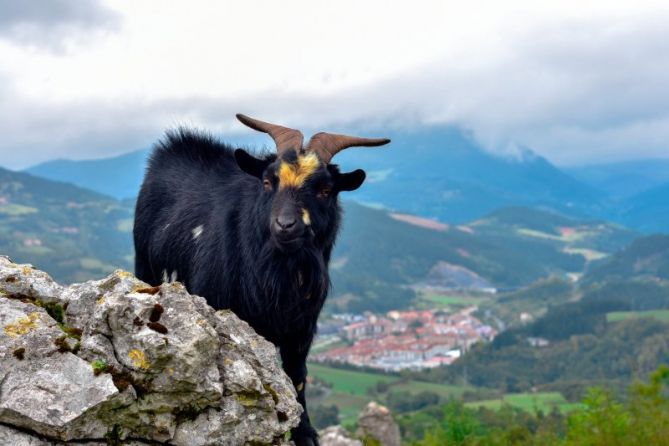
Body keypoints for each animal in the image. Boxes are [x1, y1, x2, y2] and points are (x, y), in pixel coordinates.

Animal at [132, 116, 388, 446]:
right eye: (268, 181)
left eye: (325, 190)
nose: (285, 225)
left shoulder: (302, 329)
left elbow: (297, 375)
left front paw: (305, 433)